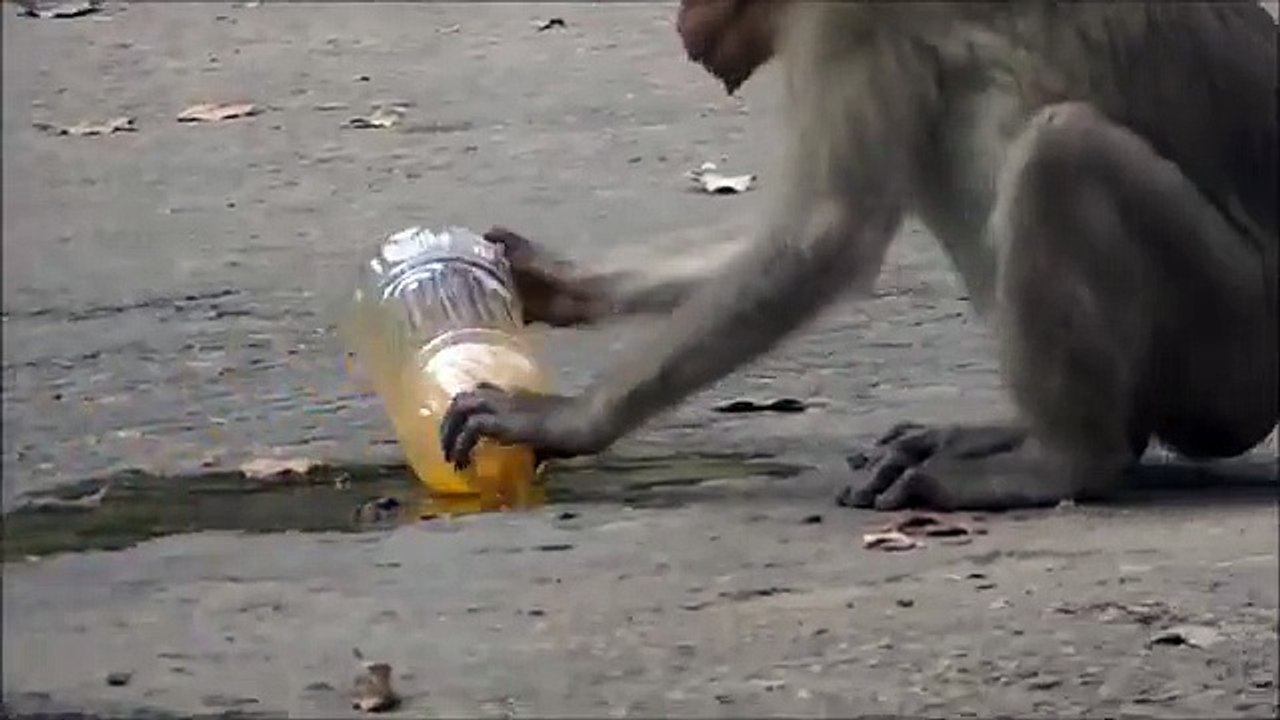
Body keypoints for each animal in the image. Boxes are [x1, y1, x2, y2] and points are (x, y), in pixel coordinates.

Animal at [441, 1, 1278, 512]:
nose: (685, 10)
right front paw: (548, 279)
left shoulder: (847, 17)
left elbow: (824, 232)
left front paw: (565, 421)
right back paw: (1012, 431)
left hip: (1232, 356)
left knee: (1058, 149)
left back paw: (1066, 459)